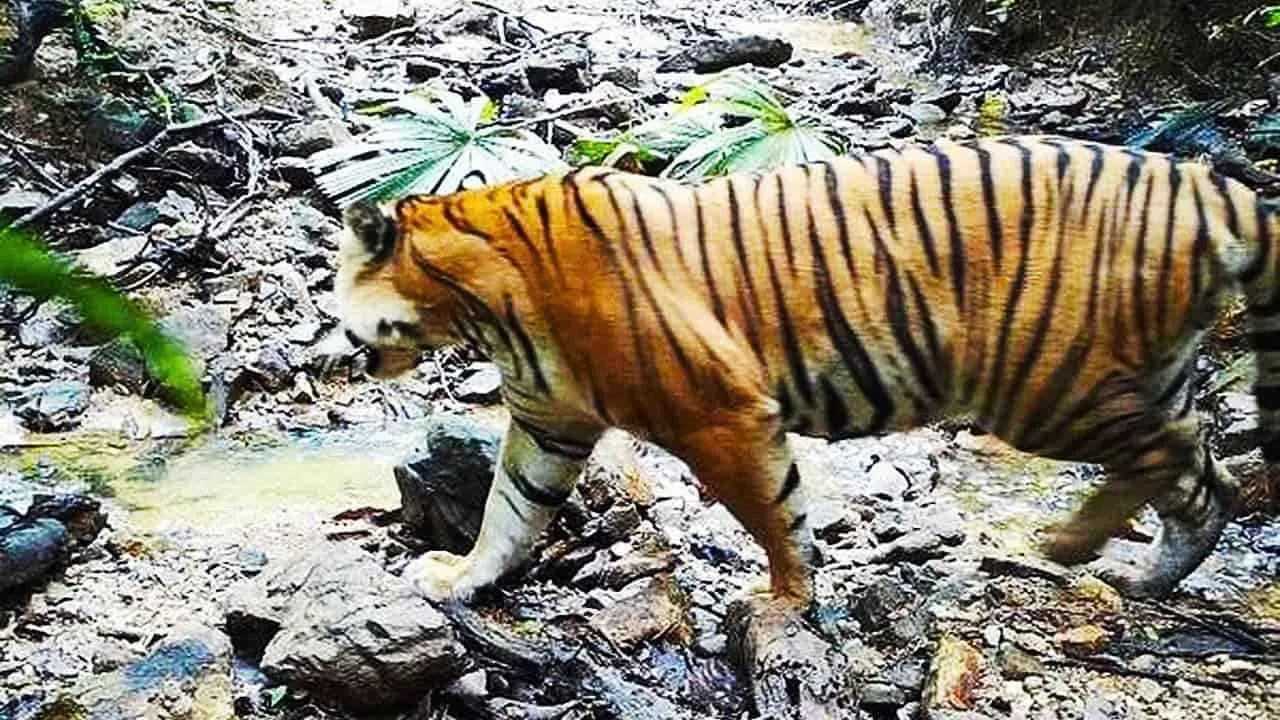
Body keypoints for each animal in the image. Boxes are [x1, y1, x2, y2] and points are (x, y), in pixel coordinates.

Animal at [333, 135, 1280, 609]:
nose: (347, 354)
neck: (479, 309)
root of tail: (1209, 184)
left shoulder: (720, 414)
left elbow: (774, 514)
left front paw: (785, 600)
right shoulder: (547, 421)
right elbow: (510, 511)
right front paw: (462, 578)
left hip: (1049, 384)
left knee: (1173, 462)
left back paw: (1073, 545)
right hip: (1138, 377)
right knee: (1211, 477)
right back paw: (1141, 574)